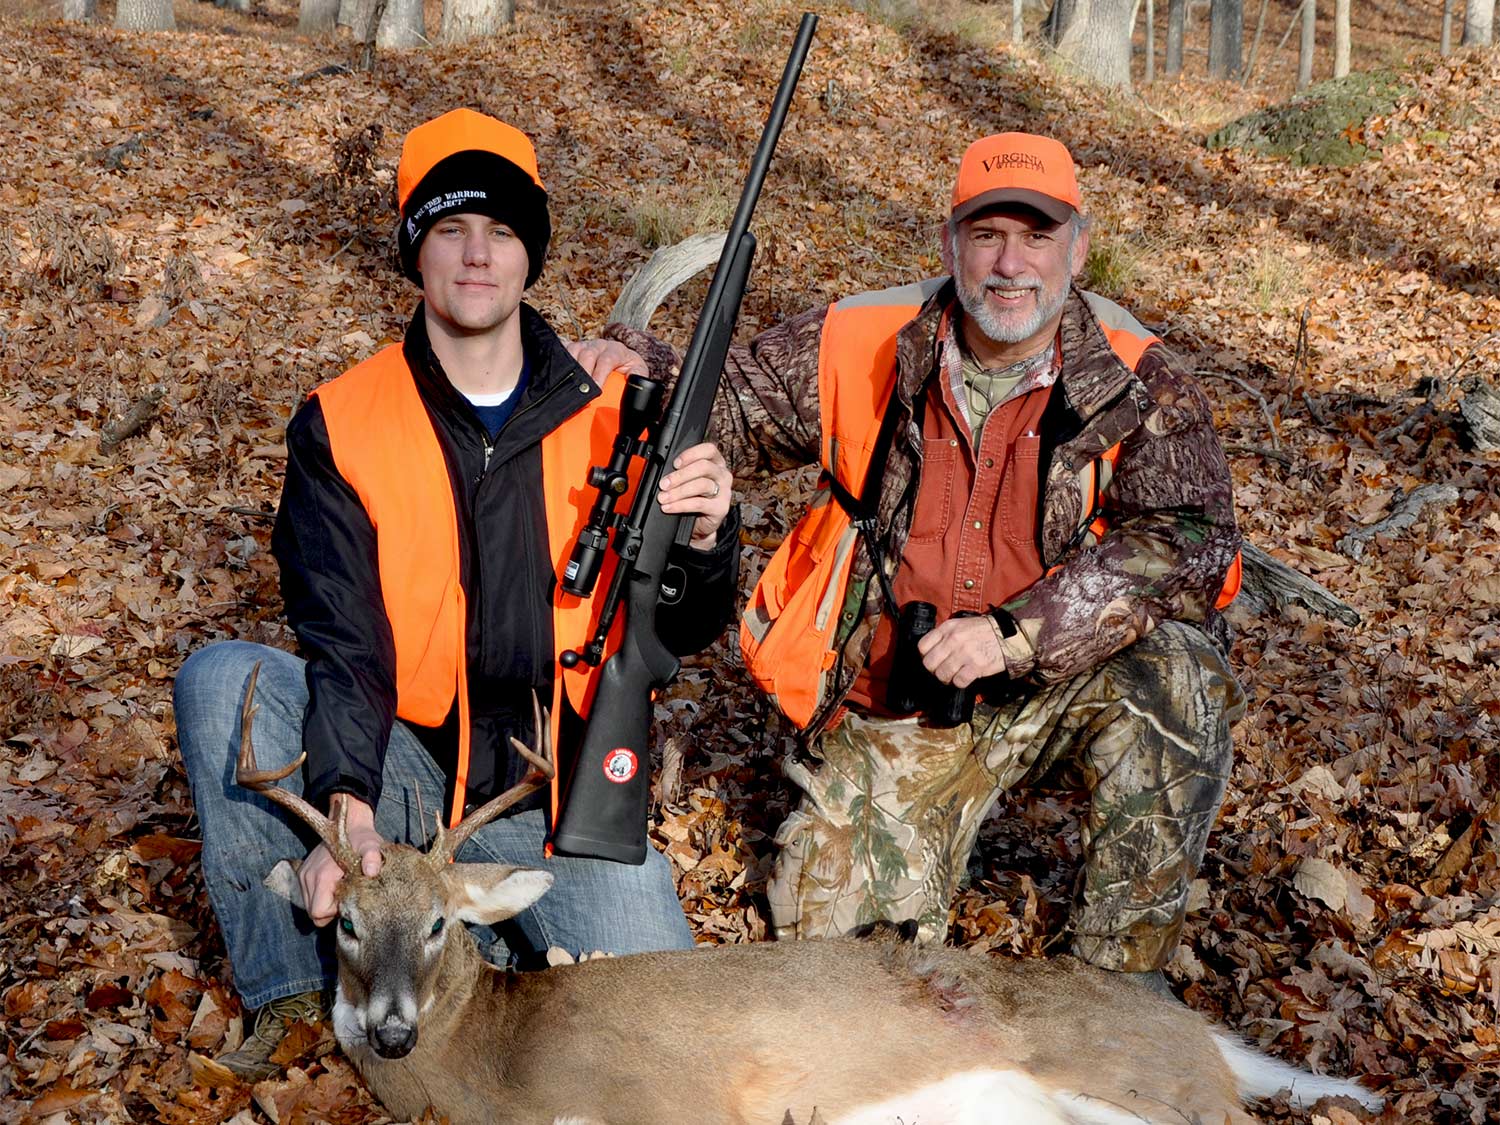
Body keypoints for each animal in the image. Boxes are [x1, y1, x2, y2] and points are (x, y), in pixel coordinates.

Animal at [237, 669, 1380, 1125]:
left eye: (439, 922)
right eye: (345, 925)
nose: (389, 1031)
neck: (493, 1078)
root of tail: (1190, 1022)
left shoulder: (678, 1100)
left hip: (1136, 1078)